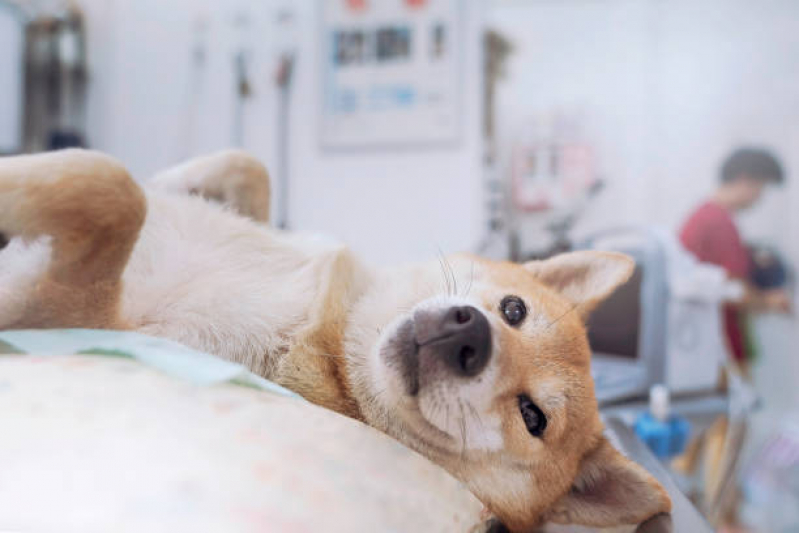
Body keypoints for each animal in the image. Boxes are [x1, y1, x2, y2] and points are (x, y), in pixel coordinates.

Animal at [1, 150, 668, 532]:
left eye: (533, 418)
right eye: (513, 310)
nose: (471, 334)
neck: (329, 324)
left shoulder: (71, 309)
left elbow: (112, 190)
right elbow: (239, 166)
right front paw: (179, 181)